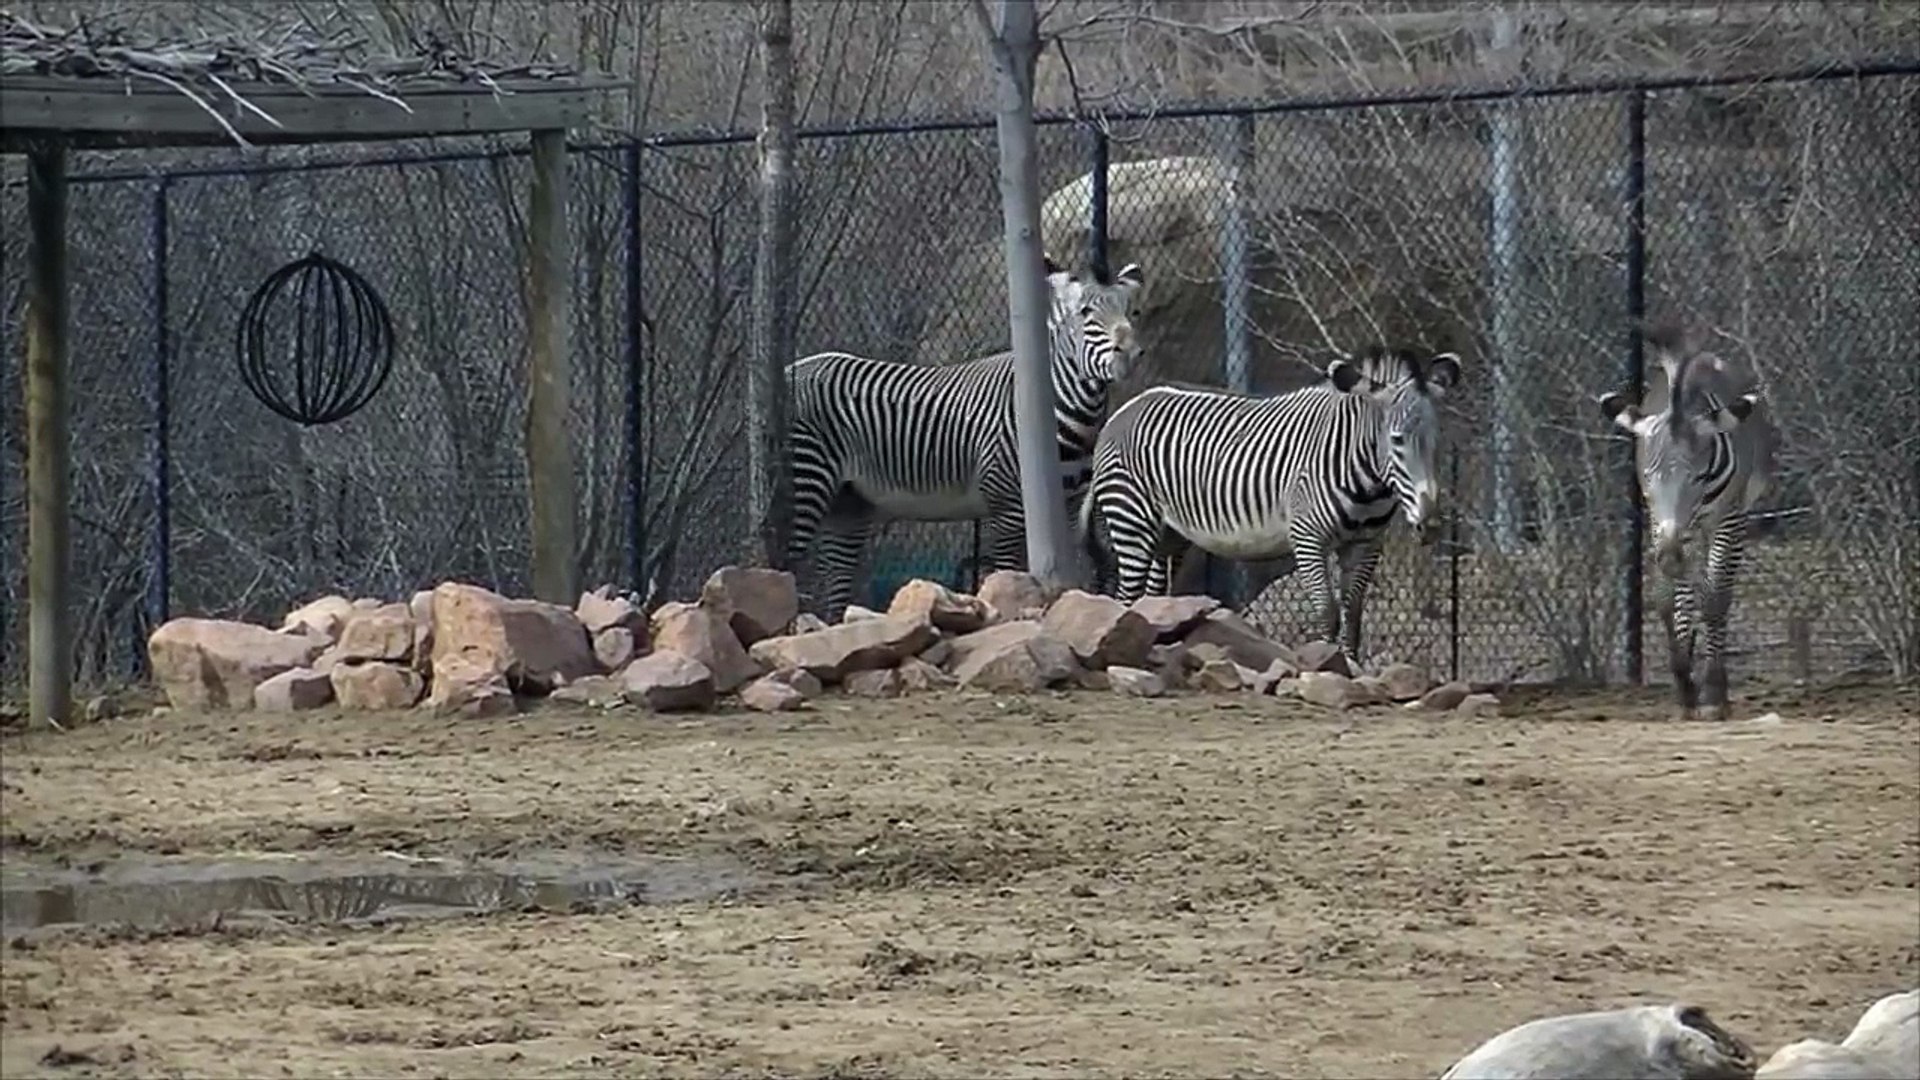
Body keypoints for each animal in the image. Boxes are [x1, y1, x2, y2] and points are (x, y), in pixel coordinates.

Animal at [785, 256, 1145, 617]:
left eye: (1133, 311)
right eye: (1085, 312)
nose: (1130, 353)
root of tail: (794, 369)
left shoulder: (1070, 504)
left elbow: (1072, 582)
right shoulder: (1007, 507)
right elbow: (1007, 575)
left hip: (848, 504)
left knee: (836, 583)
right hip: (808, 482)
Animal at [1081, 345, 1461, 663]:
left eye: (1438, 441)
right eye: (1397, 441)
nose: (1431, 525)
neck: (1366, 481)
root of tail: (1128, 405)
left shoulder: (1367, 544)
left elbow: (1353, 613)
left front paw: (1353, 668)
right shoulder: (1308, 538)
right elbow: (1327, 611)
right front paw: (1328, 667)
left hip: (1169, 535)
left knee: (1155, 596)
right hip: (1131, 519)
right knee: (1127, 596)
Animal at [1598, 321, 1776, 721]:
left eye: (1698, 475)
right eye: (1648, 477)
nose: (1670, 557)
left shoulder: (1727, 517)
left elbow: (1715, 598)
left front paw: (1713, 692)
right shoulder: (1659, 522)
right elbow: (1667, 599)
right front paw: (1683, 684)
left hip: (1724, 520)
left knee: (1716, 591)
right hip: (1690, 533)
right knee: (1687, 591)